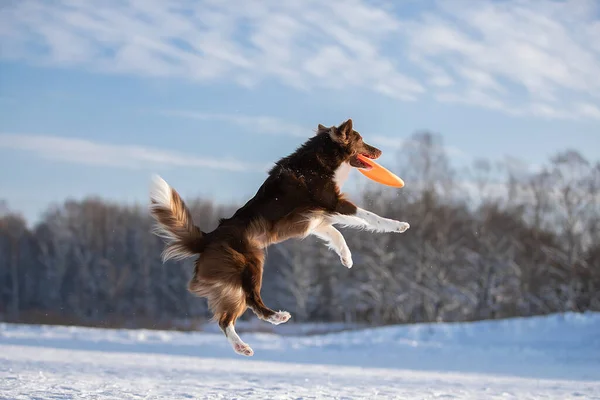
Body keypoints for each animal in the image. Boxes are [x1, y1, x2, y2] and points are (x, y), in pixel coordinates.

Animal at [148, 119, 410, 356]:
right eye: (361, 140)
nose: (380, 151)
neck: (321, 160)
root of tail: (208, 238)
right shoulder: (333, 203)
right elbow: (370, 217)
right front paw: (398, 225)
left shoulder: (314, 221)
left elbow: (337, 235)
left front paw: (346, 258)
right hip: (250, 264)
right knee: (252, 301)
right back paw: (277, 317)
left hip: (229, 282)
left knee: (225, 319)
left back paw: (242, 347)